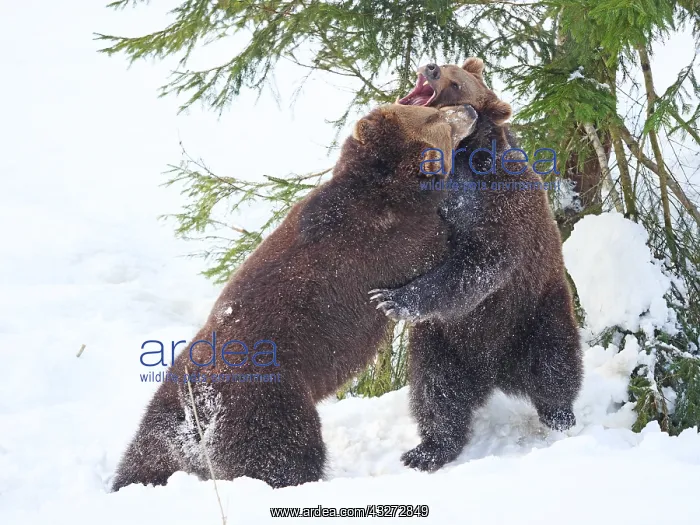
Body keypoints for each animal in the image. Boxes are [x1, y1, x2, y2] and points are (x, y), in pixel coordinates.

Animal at [111, 103, 479, 491]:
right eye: (432, 116)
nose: (468, 109)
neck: (387, 192)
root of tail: (195, 418)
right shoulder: (397, 242)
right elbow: (445, 248)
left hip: (160, 412)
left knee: (141, 460)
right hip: (268, 403)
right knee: (286, 458)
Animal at [370, 58, 583, 472]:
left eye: (455, 82)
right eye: (446, 63)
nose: (431, 68)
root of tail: (495, 373)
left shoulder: (501, 207)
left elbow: (480, 263)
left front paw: (393, 299)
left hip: (536, 313)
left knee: (555, 366)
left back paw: (560, 418)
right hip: (441, 342)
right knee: (437, 391)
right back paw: (428, 450)